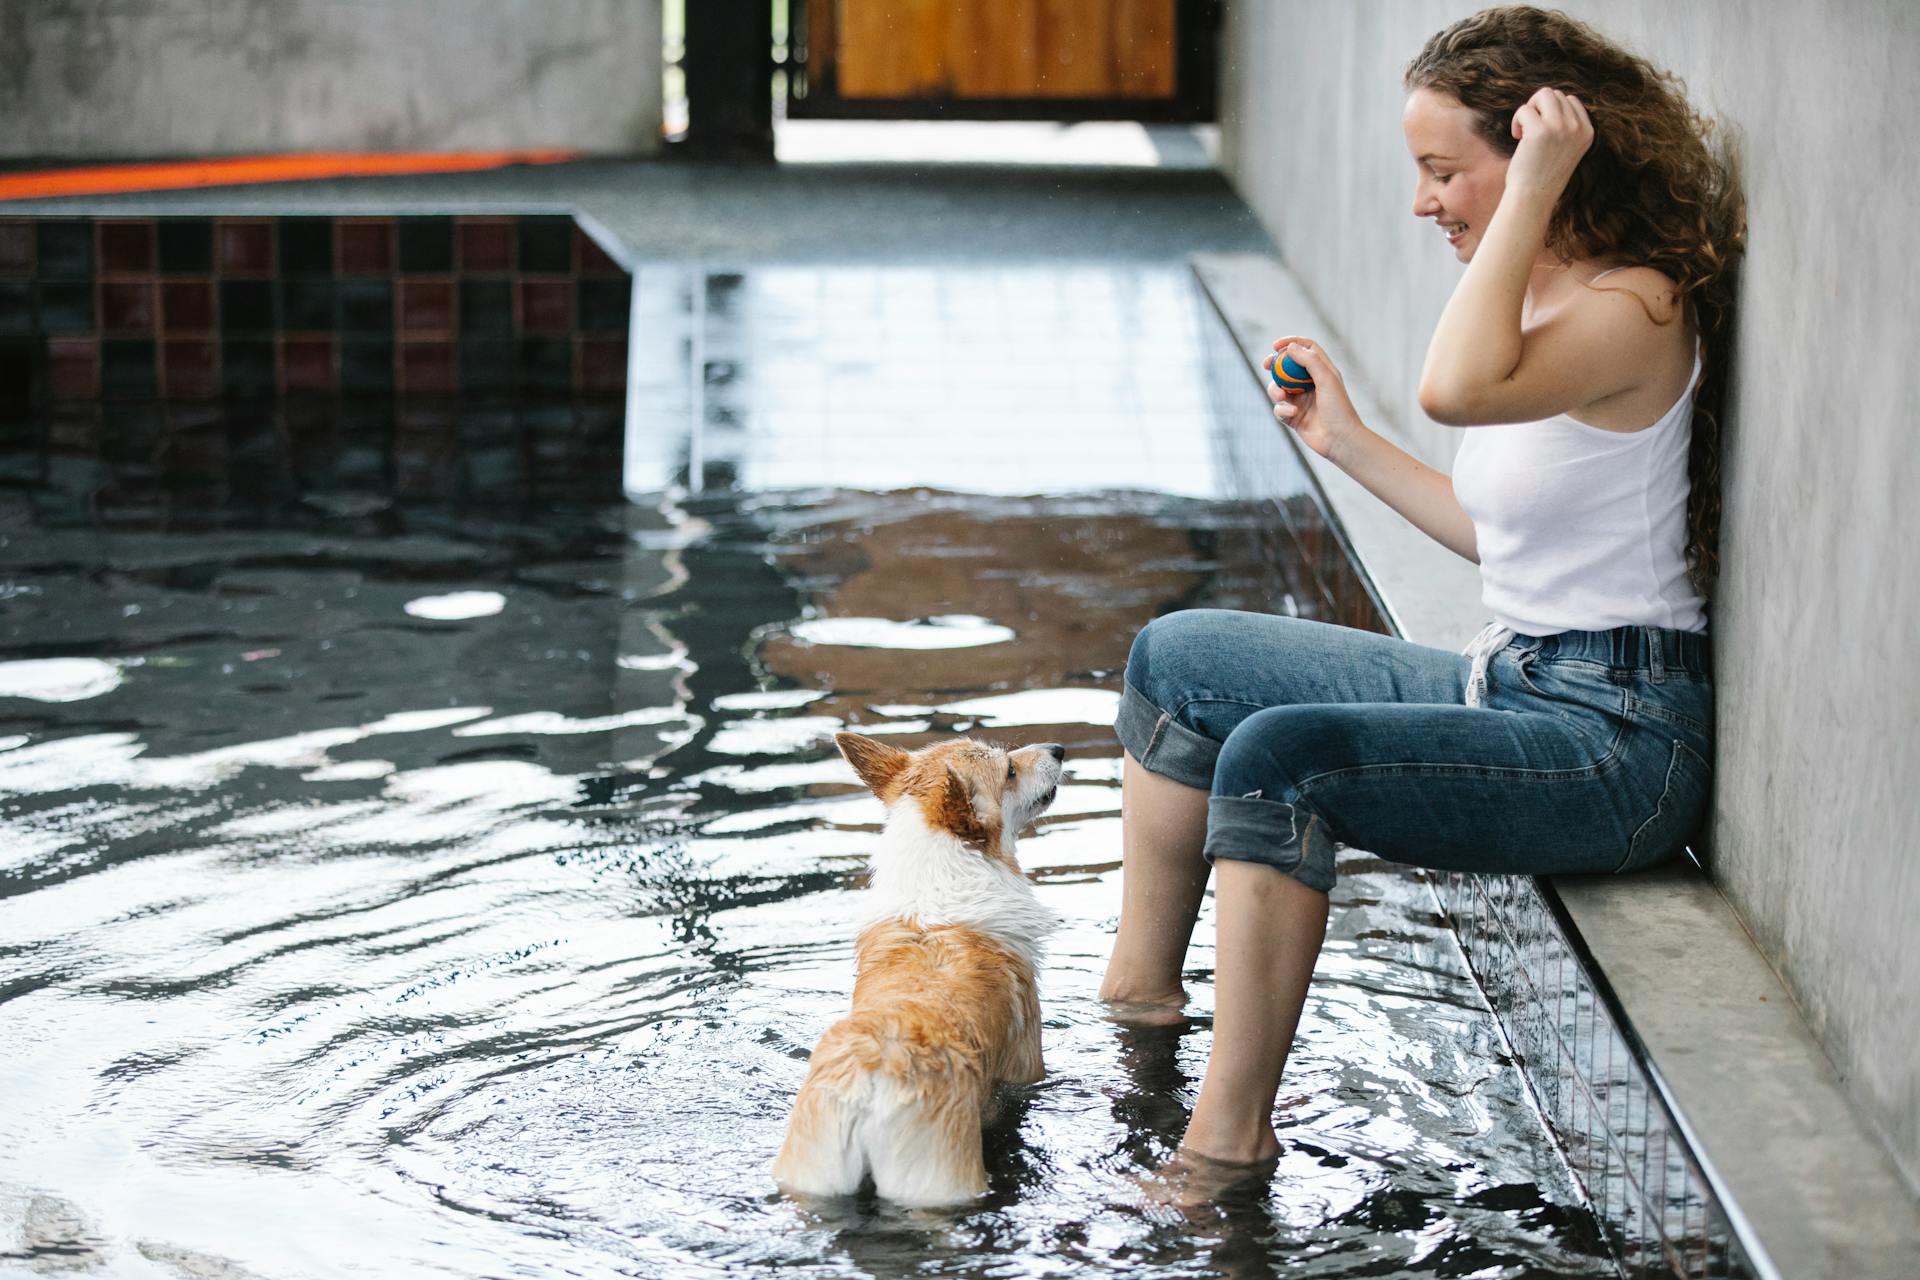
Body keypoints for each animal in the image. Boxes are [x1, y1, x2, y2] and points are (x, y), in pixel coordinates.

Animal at [768, 736, 1067, 1205]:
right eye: (1009, 771)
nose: (1058, 749)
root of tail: (873, 1075)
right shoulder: (1027, 1060)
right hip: (943, 1180)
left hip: (813, 1171)